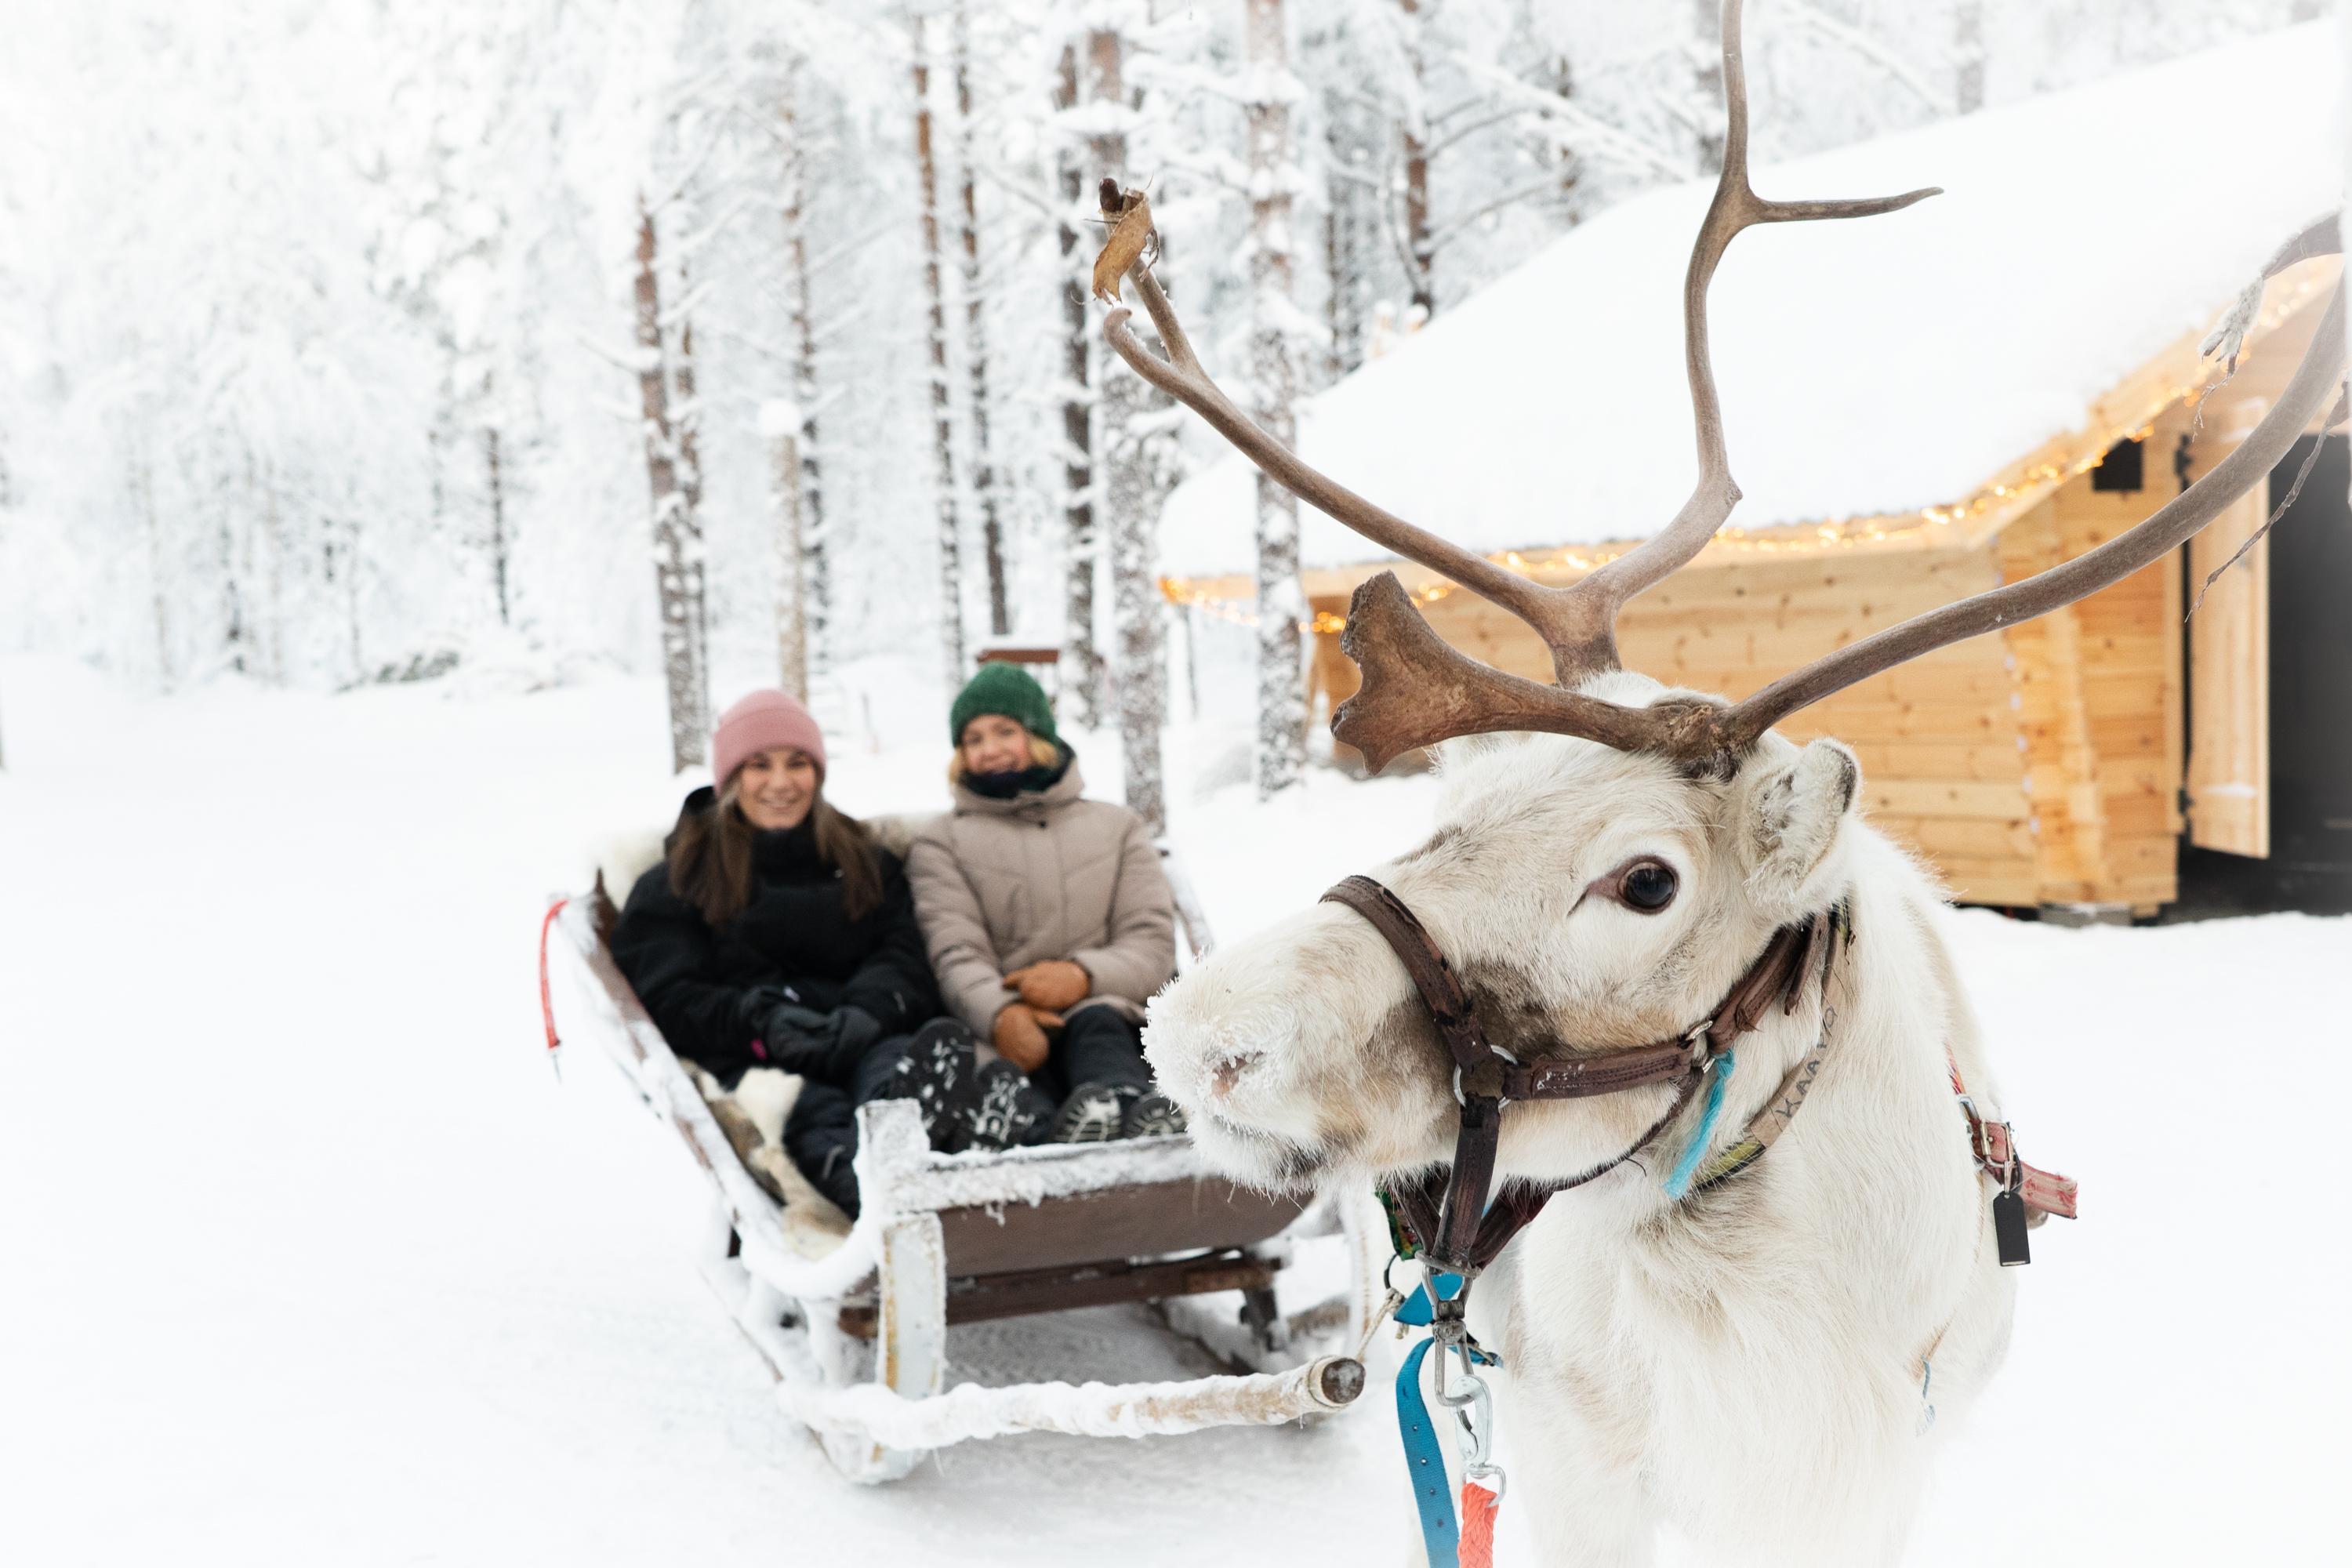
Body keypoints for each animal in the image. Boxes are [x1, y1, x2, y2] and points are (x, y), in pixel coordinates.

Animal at [1095, 2, 2346, 1563]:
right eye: (1449, 809)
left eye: (1645, 880)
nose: (1199, 1036)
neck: (1774, 1310)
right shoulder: (1573, 1459)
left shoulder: (1870, 1479)